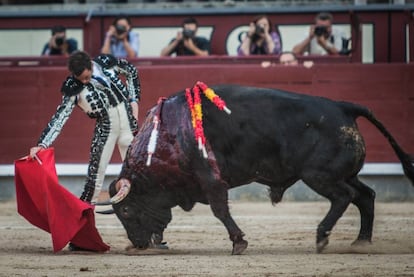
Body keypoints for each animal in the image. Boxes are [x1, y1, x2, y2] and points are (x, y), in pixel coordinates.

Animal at [107, 84, 414, 254]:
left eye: (126, 211)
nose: (137, 243)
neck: (168, 136)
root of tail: (343, 107)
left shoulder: (211, 181)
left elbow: (220, 211)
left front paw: (238, 243)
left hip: (318, 176)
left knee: (344, 197)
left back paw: (321, 237)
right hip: (344, 173)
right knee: (366, 196)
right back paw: (361, 242)